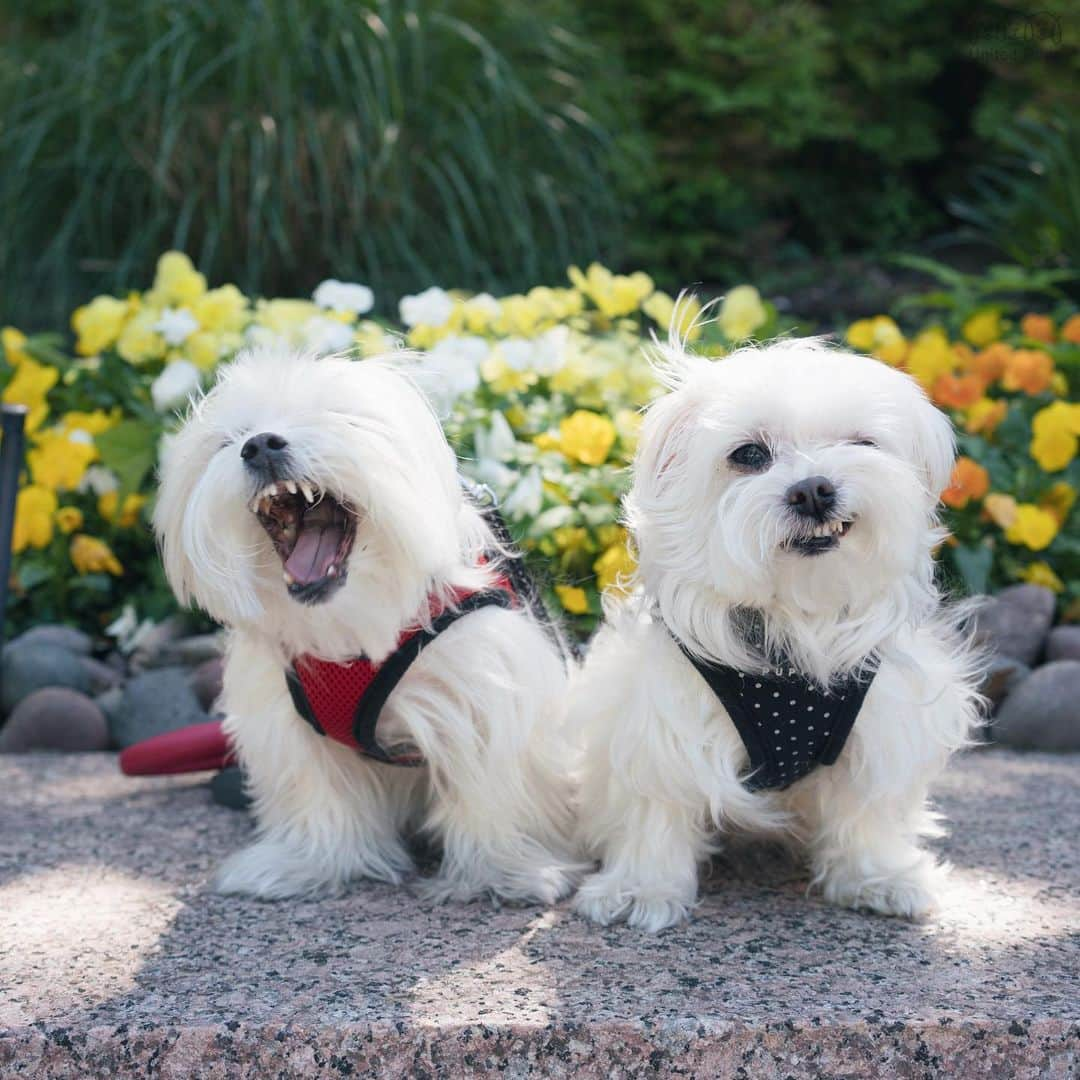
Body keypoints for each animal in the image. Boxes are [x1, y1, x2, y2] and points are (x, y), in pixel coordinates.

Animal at [154, 347, 583, 902]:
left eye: (336, 418)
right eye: (230, 439)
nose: (260, 444)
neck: (352, 627)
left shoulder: (485, 696)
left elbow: (493, 790)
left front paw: (505, 871)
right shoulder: (287, 719)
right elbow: (316, 794)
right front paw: (308, 864)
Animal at [574, 336, 989, 928]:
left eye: (861, 442)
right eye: (749, 454)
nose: (814, 489)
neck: (797, 611)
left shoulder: (884, 724)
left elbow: (866, 808)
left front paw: (877, 876)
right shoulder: (659, 724)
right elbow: (657, 804)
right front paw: (640, 887)